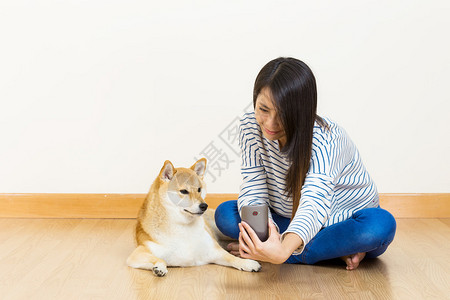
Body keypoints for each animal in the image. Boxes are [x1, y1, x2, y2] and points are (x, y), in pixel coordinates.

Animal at [125, 158, 260, 278]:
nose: (204, 206)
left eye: (199, 189)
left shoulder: (214, 251)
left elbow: (232, 258)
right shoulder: (138, 254)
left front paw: (248, 263)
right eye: (184, 191)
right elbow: (160, 259)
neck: (183, 226)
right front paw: (159, 268)